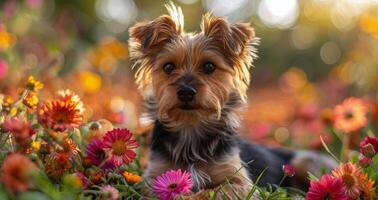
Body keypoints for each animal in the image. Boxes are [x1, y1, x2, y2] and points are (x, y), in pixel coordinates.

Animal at [128, 3, 336, 200]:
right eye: (168, 67)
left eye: (209, 66)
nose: (186, 92)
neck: (191, 128)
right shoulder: (154, 178)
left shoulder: (242, 182)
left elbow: (217, 190)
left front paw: (193, 195)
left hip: (306, 162)